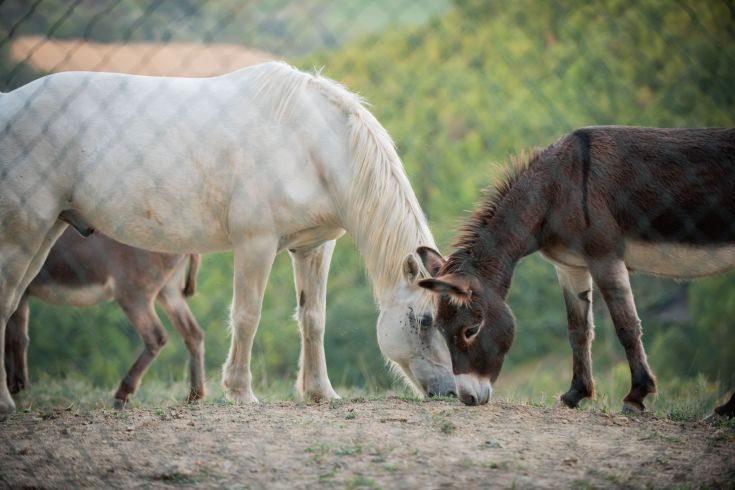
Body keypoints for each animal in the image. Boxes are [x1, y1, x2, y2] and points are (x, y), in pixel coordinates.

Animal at [4, 228, 204, 407]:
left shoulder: (18, 290)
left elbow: (16, 338)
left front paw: (17, 387)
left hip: (133, 293)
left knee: (157, 336)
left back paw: (122, 393)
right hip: (169, 290)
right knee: (193, 334)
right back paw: (194, 396)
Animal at [416, 126, 735, 417]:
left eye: (471, 330)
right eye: (440, 330)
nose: (467, 398)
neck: (556, 189)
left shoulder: (605, 258)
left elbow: (626, 326)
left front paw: (636, 396)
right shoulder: (570, 266)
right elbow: (578, 330)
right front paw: (576, 394)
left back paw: (723, 411)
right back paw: (725, 410)